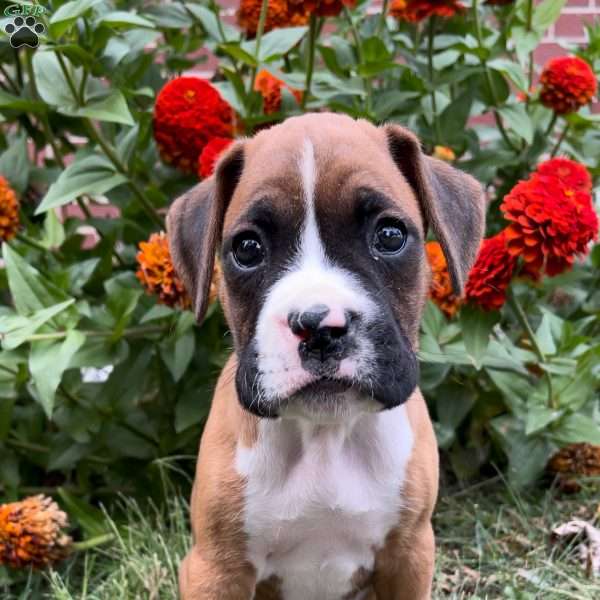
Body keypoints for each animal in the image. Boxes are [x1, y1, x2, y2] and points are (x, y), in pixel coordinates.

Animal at [166, 113, 486, 600]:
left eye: (390, 235)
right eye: (247, 248)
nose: (318, 327)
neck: (324, 435)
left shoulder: (409, 557)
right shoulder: (214, 571)